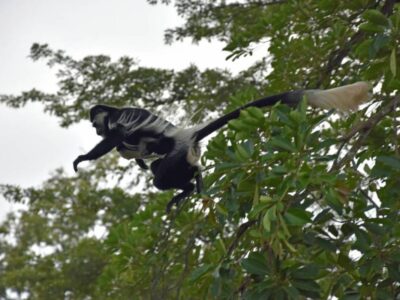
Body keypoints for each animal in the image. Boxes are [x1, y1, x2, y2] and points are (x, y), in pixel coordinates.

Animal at [72, 81, 372, 211]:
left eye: (95, 124)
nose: (95, 129)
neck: (111, 113)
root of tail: (188, 135)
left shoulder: (116, 122)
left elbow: (115, 139)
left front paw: (82, 159)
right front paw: (138, 160)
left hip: (176, 154)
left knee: (161, 175)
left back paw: (191, 185)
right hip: (182, 154)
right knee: (164, 167)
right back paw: (191, 185)